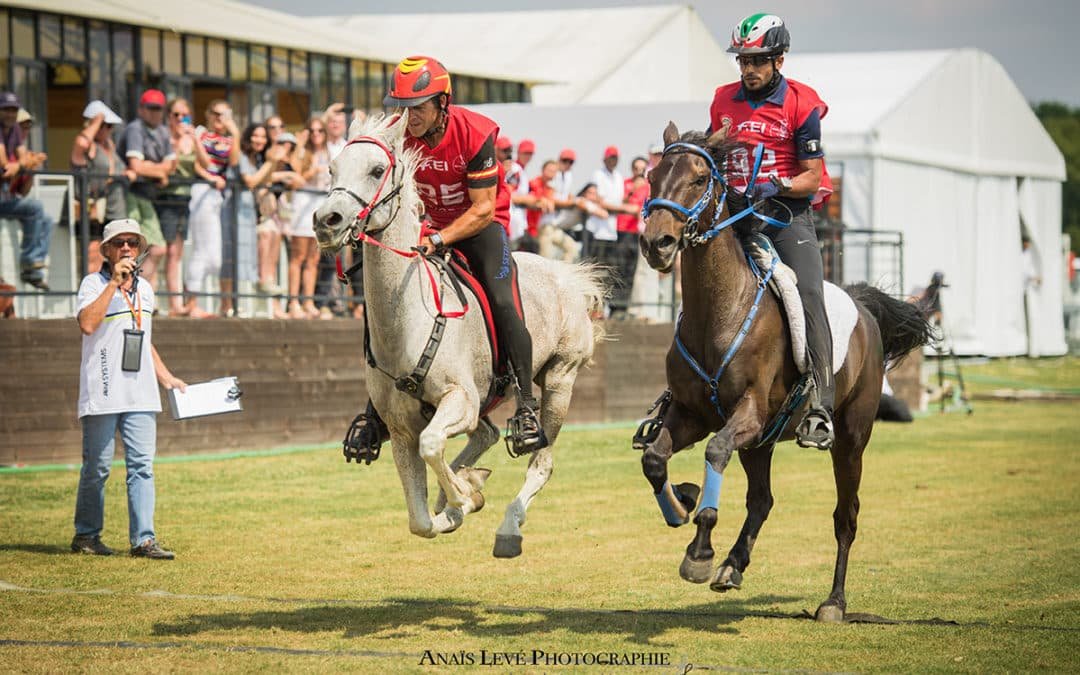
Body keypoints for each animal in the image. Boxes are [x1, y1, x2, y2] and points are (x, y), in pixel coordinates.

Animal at [313, 113, 607, 558]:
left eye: (377, 170)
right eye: (331, 169)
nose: (326, 221)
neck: (408, 320)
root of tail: (567, 275)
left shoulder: (461, 400)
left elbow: (433, 444)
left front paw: (464, 496)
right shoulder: (401, 430)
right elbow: (420, 520)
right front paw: (457, 499)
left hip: (560, 380)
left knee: (541, 462)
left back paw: (508, 525)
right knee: (486, 434)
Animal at [635, 122, 934, 622]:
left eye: (700, 178)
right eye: (653, 176)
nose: (656, 244)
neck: (718, 311)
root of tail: (863, 307)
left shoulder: (749, 412)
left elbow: (715, 452)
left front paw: (699, 552)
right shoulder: (693, 415)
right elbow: (655, 459)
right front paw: (681, 503)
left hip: (849, 439)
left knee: (846, 516)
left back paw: (833, 602)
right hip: (763, 441)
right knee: (762, 499)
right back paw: (733, 564)